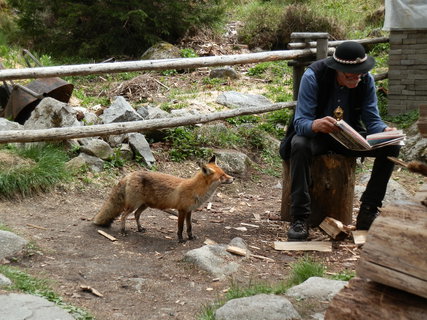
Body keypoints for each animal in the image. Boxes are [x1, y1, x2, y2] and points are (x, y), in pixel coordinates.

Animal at [93, 156, 234, 242]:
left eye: (225, 173)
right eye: (222, 176)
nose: (233, 178)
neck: (196, 190)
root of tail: (129, 174)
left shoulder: (189, 211)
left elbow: (189, 227)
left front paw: (190, 237)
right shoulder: (181, 210)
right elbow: (180, 228)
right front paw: (180, 240)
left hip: (144, 205)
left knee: (136, 215)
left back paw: (140, 228)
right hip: (133, 205)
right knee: (123, 216)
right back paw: (123, 231)